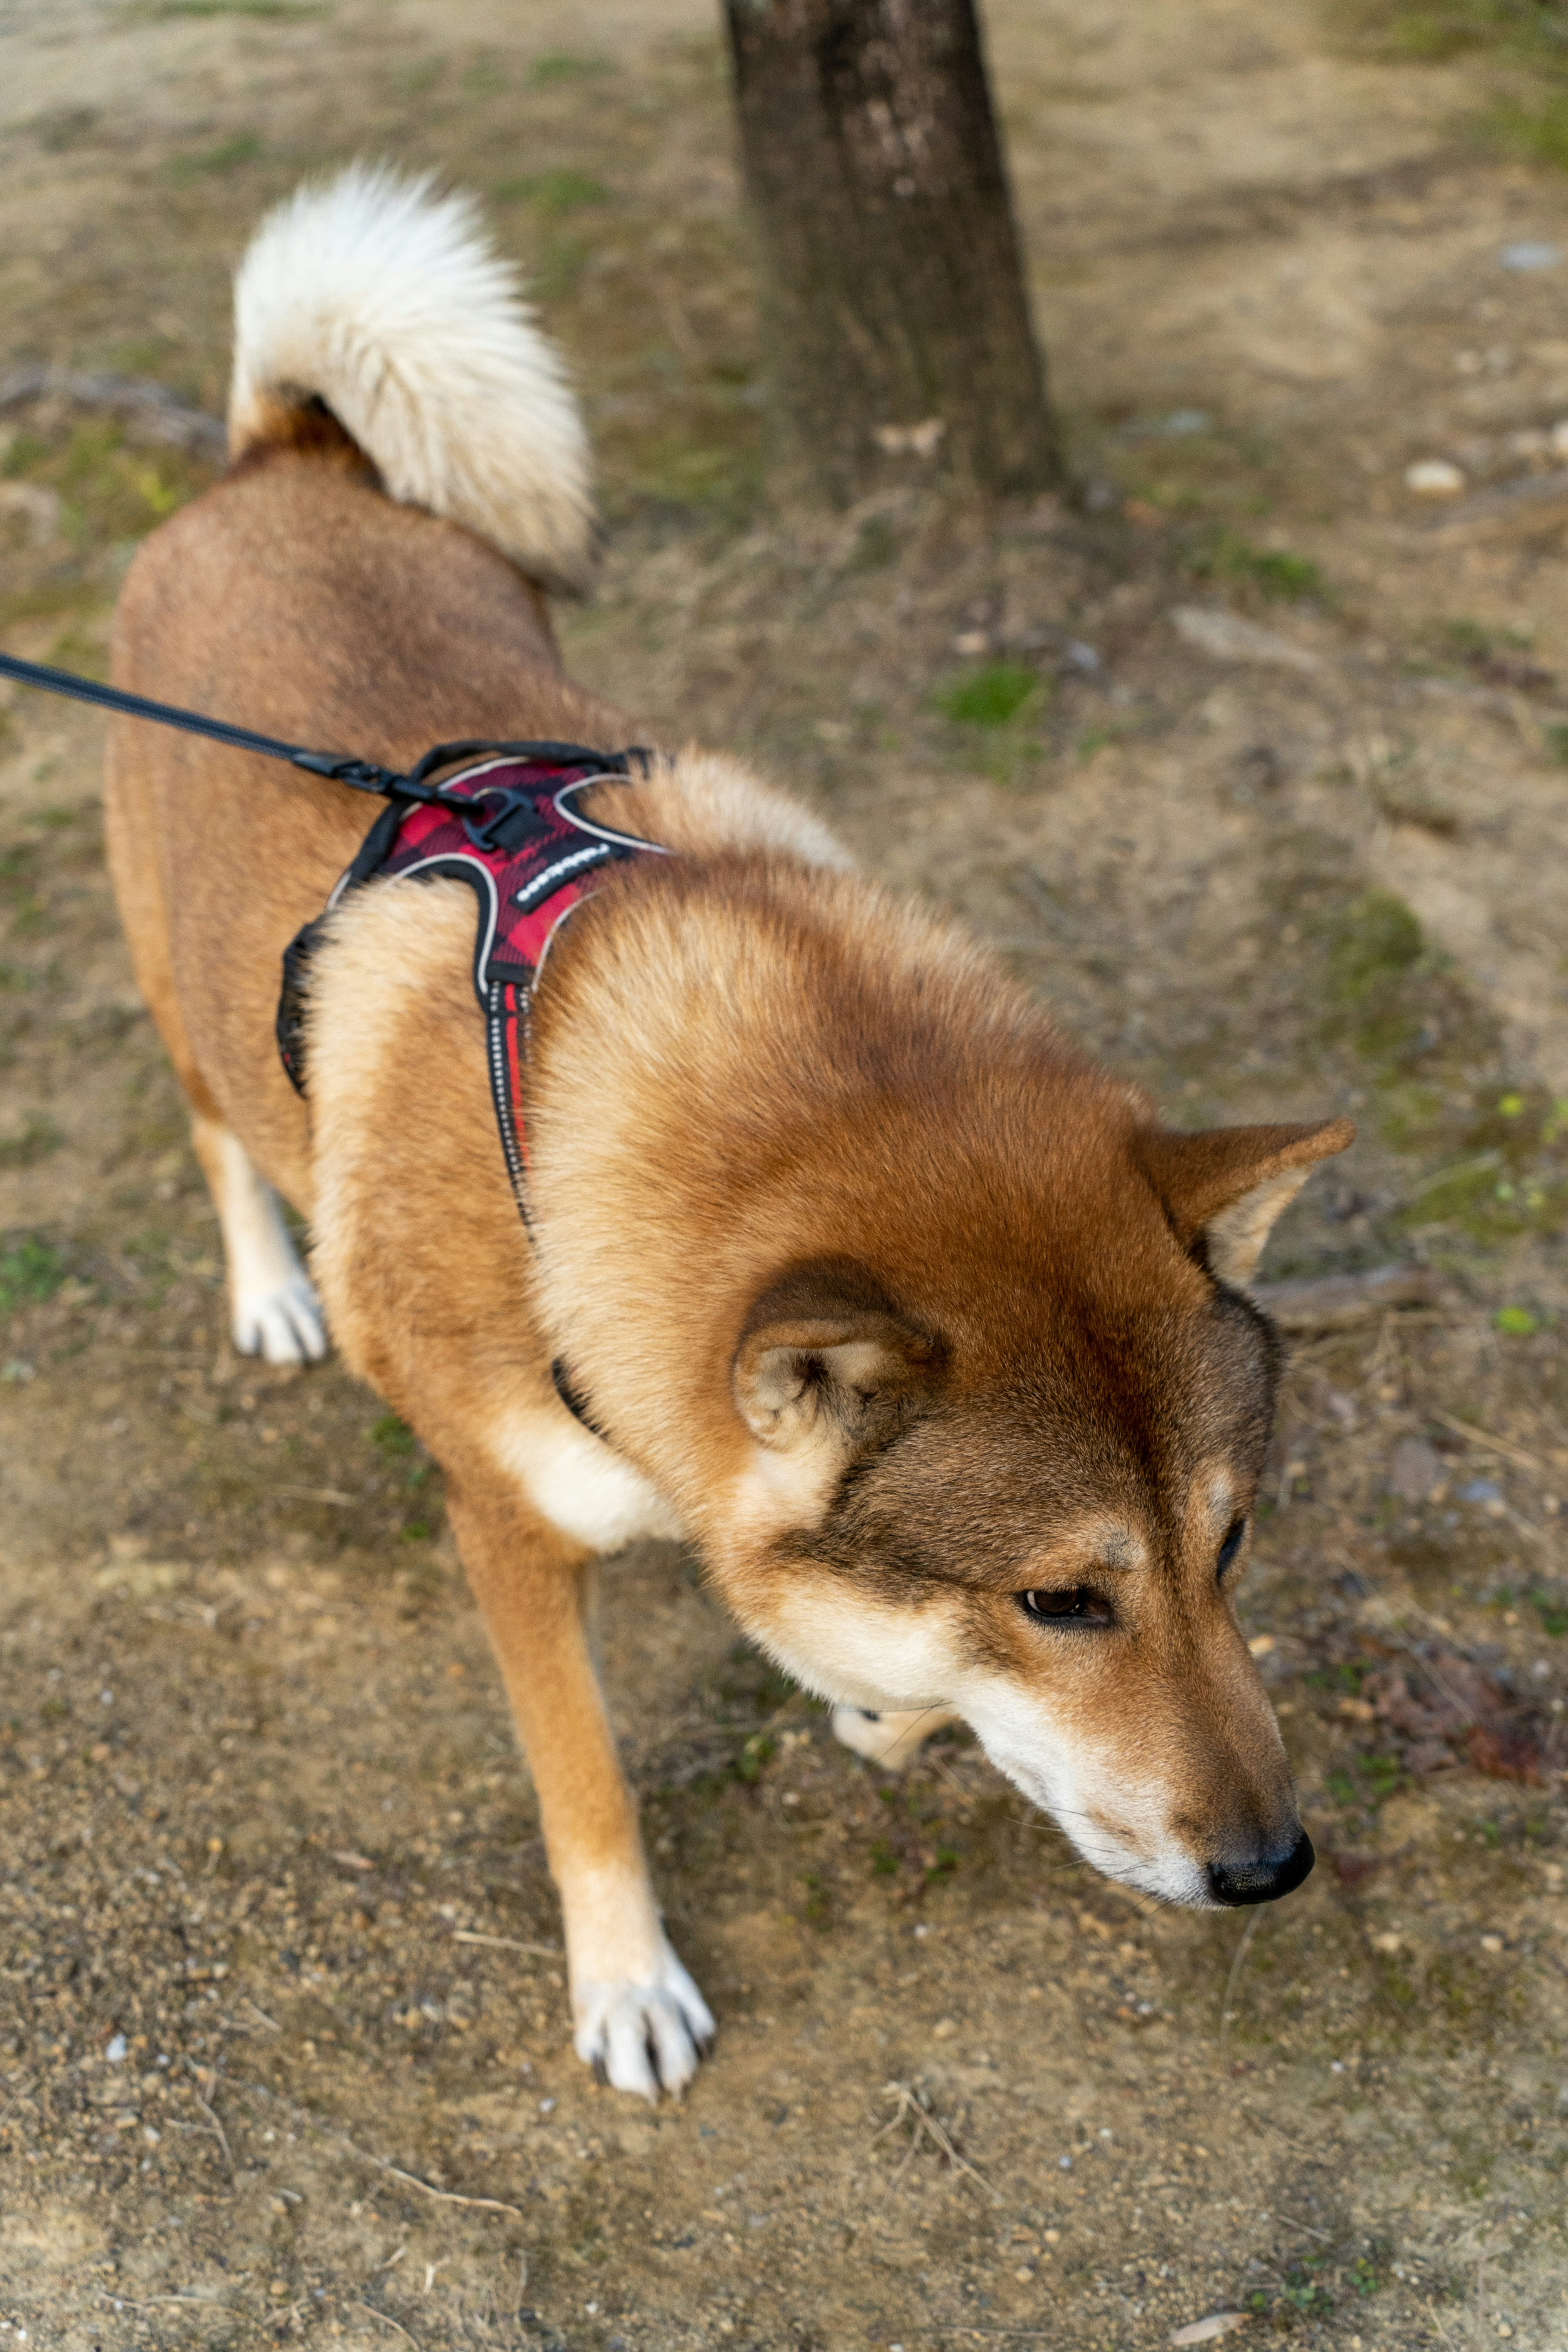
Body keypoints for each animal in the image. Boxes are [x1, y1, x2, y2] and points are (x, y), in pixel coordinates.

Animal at [101, 174, 1354, 2107]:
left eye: (1230, 1546)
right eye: (1064, 1599)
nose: (1273, 1865)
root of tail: (276, 461)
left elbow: (861, 1651)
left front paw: (870, 1694)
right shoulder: (505, 1531)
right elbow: (588, 1784)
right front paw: (629, 1984)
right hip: (185, 992)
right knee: (218, 1127)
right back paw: (270, 1289)